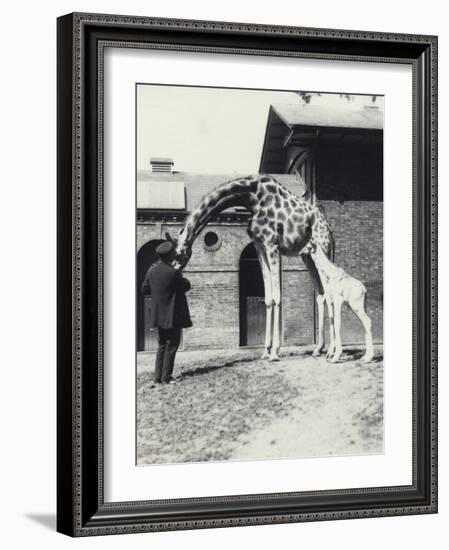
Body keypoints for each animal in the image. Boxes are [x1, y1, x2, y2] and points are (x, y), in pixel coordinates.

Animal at [166, 175, 334, 360]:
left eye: (180, 255)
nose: (174, 274)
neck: (252, 197)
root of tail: (329, 229)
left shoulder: (272, 245)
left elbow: (277, 296)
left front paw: (275, 352)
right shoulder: (259, 246)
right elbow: (268, 298)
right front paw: (265, 351)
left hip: (322, 251)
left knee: (330, 293)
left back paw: (332, 351)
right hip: (308, 256)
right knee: (321, 294)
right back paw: (318, 349)